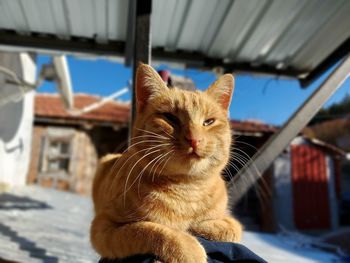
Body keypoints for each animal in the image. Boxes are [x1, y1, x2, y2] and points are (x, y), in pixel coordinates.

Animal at [91, 64, 242, 263]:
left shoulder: (229, 220)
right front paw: (188, 248)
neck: (187, 189)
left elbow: (232, 227)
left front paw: (202, 226)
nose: (194, 139)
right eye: (170, 118)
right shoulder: (103, 227)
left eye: (209, 122)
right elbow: (145, 229)